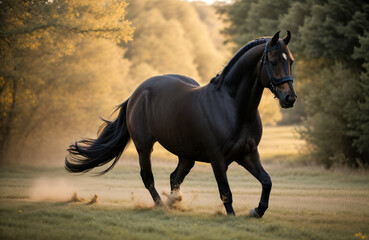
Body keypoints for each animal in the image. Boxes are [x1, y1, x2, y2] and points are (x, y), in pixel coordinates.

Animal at [65, 30, 296, 218]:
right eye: (273, 61)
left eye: (291, 61)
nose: (289, 98)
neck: (231, 106)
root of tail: (136, 94)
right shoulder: (218, 160)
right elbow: (226, 193)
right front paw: (233, 216)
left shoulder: (248, 154)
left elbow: (267, 181)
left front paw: (257, 211)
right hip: (144, 147)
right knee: (148, 178)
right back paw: (162, 206)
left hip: (187, 155)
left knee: (174, 178)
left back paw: (173, 203)